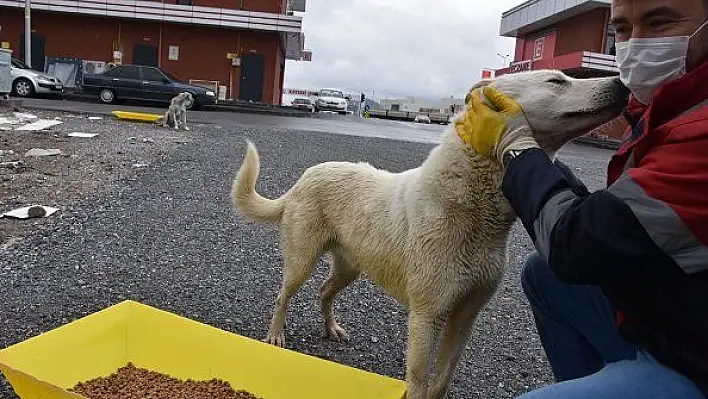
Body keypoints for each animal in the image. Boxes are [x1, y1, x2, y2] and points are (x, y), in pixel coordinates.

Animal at [230, 69, 628, 399]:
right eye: (557, 81)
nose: (622, 84)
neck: (475, 212)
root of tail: (306, 176)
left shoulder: (465, 316)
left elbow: (443, 377)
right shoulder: (427, 315)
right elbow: (420, 380)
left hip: (351, 266)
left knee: (325, 291)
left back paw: (331, 329)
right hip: (302, 260)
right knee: (283, 296)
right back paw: (275, 335)